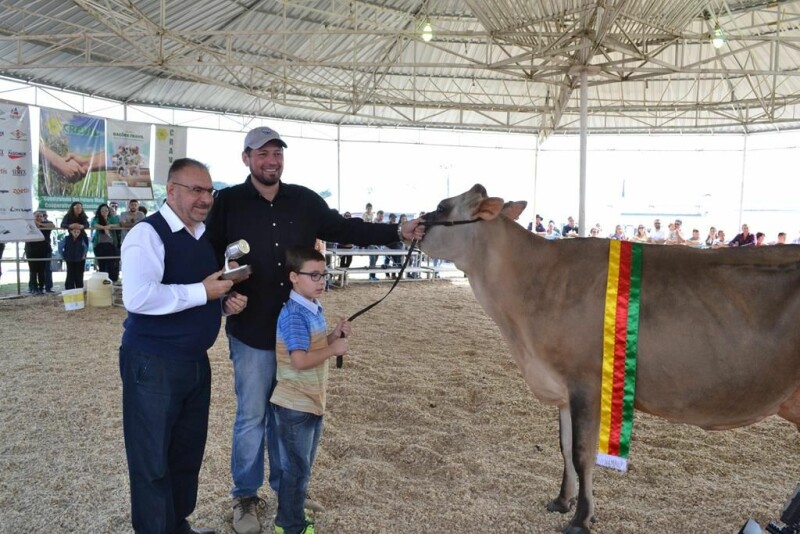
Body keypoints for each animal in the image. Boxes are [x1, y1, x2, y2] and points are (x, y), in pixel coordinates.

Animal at [418, 185, 800, 534]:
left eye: (442, 206)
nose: (409, 225)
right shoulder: (562, 388)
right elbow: (564, 447)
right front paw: (562, 501)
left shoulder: (586, 383)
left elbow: (582, 453)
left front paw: (581, 519)